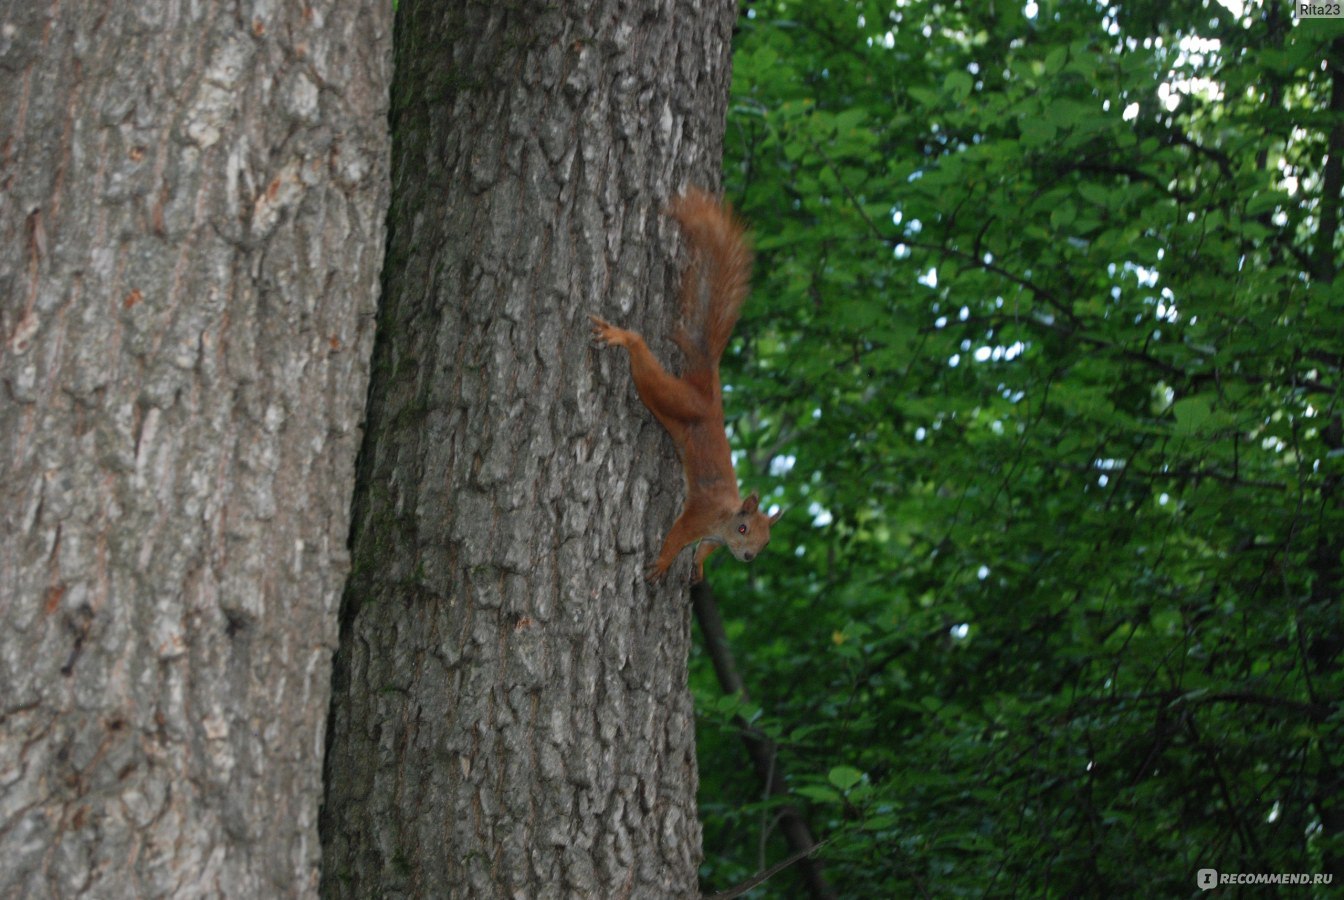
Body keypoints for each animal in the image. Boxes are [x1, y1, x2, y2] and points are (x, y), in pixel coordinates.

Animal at [588, 190, 779, 585]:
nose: (749, 556)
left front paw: (699, 565)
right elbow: (677, 537)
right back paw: (623, 337)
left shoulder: (713, 537)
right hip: (671, 398)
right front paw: (663, 562)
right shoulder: (698, 516)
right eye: (743, 529)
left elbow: (703, 549)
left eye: (767, 542)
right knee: (644, 361)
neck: (724, 519)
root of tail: (707, 393)